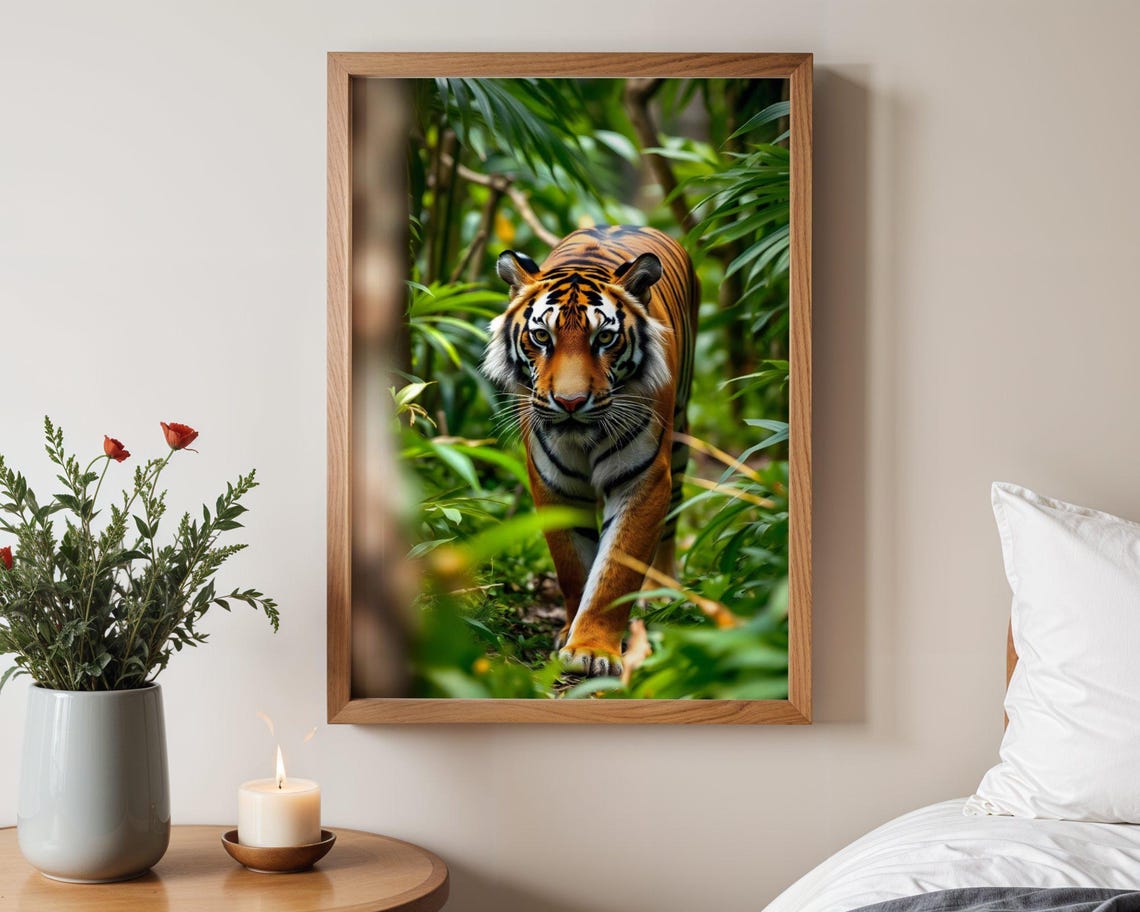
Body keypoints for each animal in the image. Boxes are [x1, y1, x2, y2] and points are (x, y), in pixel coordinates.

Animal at [481, 225, 699, 678]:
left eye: (605, 338)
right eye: (541, 336)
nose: (570, 402)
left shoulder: (644, 480)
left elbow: (615, 569)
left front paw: (593, 650)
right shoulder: (554, 483)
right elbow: (573, 564)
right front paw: (571, 635)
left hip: (681, 435)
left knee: (673, 521)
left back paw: (663, 593)